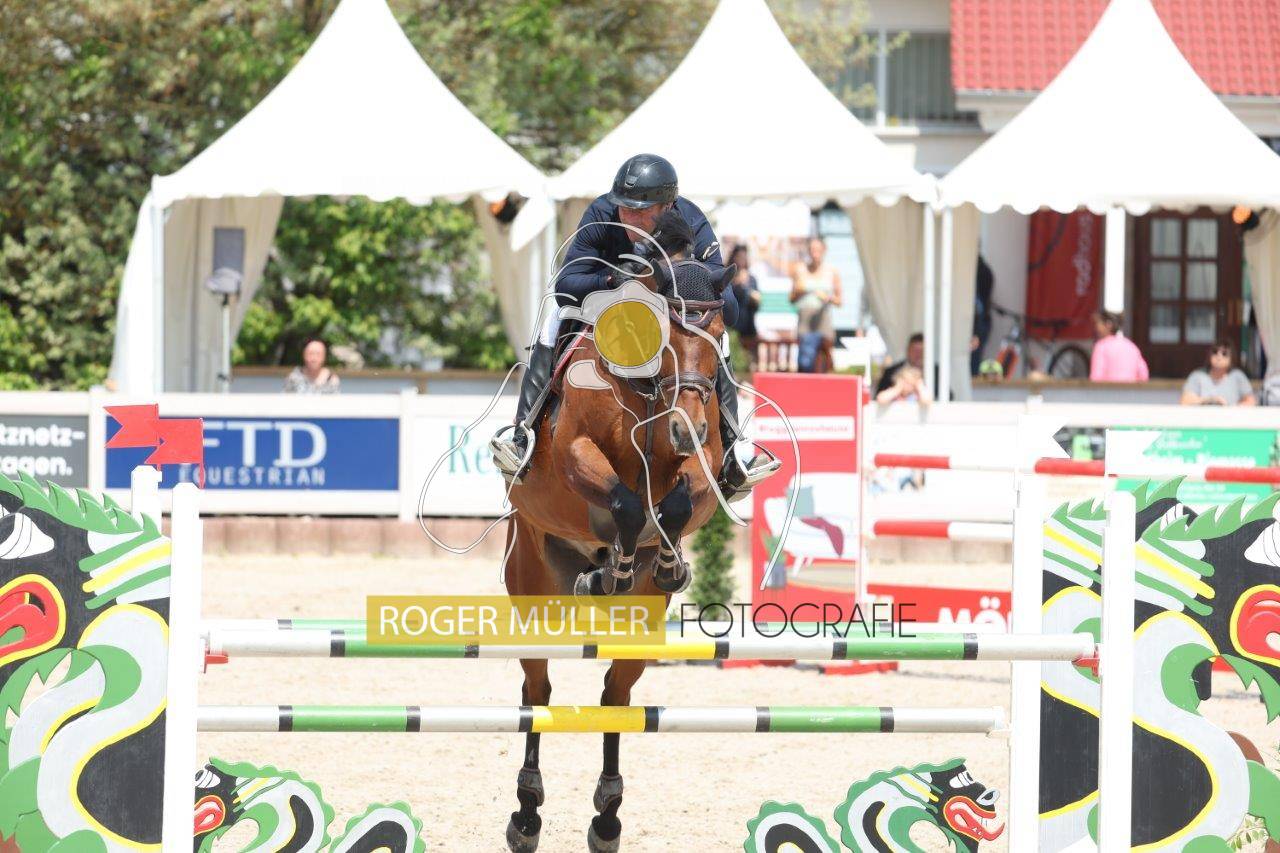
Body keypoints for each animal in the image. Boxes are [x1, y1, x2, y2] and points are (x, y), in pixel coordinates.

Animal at [502, 213, 735, 853]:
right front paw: (624, 562)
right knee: (538, 690)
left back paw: (607, 819)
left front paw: (668, 562)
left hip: (642, 624)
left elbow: (674, 503)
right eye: (667, 335)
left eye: (719, 333)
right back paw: (526, 815)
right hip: (531, 579)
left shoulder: (703, 466)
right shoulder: (576, 455)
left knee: (616, 695)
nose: (683, 427)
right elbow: (628, 503)